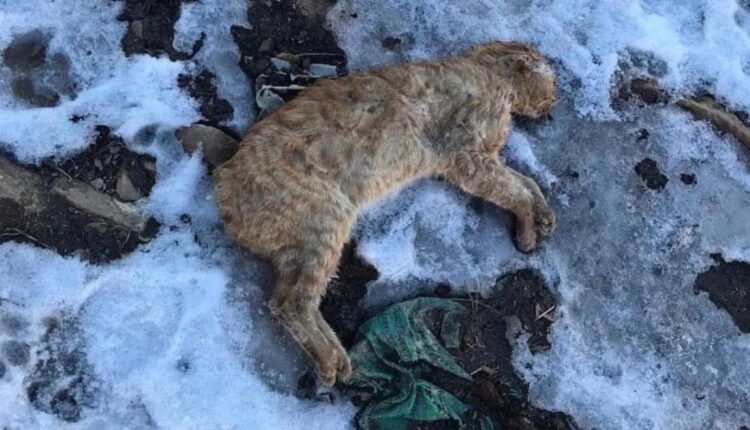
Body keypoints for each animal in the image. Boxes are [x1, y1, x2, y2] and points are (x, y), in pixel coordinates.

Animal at [213, 41, 557, 386]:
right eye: (553, 84)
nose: (554, 105)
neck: (489, 73)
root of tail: (222, 182)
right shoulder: (468, 160)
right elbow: (516, 191)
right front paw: (528, 230)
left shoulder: (484, 160)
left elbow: (527, 182)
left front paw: (544, 214)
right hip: (325, 227)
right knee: (290, 304)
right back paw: (332, 361)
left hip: (302, 248)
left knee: (289, 300)